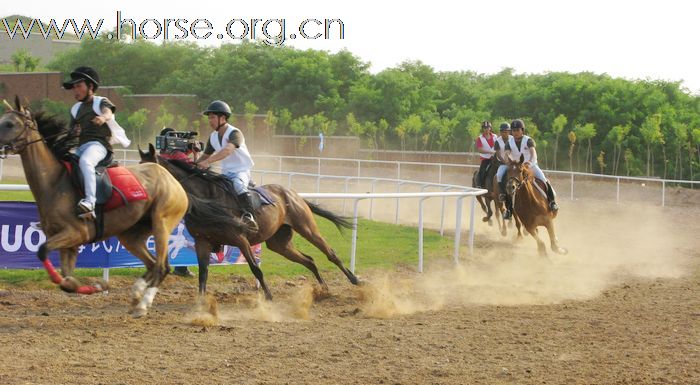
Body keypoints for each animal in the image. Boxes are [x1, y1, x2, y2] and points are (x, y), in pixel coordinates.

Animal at [0, 97, 194, 316]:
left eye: (10, 124)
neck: (55, 182)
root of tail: (172, 179)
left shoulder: (76, 233)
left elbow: (42, 251)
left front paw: (99, 286)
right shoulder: (68, 243)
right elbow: (67, 282)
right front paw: (97, 286)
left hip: (162, 223)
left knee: (162, 267)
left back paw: (143, 304)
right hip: (131, 235)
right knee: (152, 264)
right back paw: (137, 293)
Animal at [137, 144, 360, 296]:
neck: (208, 200)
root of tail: (292, 194)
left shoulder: (241, 239)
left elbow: (256, 269)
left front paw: (269, 297)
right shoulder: (202, 241)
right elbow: (203, 274)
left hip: (307, 227)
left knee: (330, 254)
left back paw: (355, 279)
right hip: (279, 243)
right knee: (309, 260)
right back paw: (323, 289)